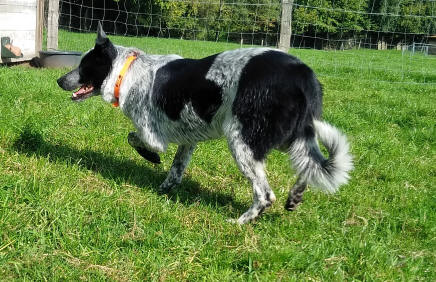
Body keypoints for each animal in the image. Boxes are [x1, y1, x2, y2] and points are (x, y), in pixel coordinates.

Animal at [58, 23, 352, 224]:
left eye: (84, 65)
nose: (59, 80)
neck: (127, 71)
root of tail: (302, 74)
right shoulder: (188, 142)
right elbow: (176, 169)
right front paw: (164, 189)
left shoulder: (152, 135)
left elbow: (133, 138)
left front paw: (152, 159)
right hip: (290, 139)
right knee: (309, 167)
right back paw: (295, 198)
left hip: (243, 143)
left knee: (265, 194)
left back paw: (241, 222)